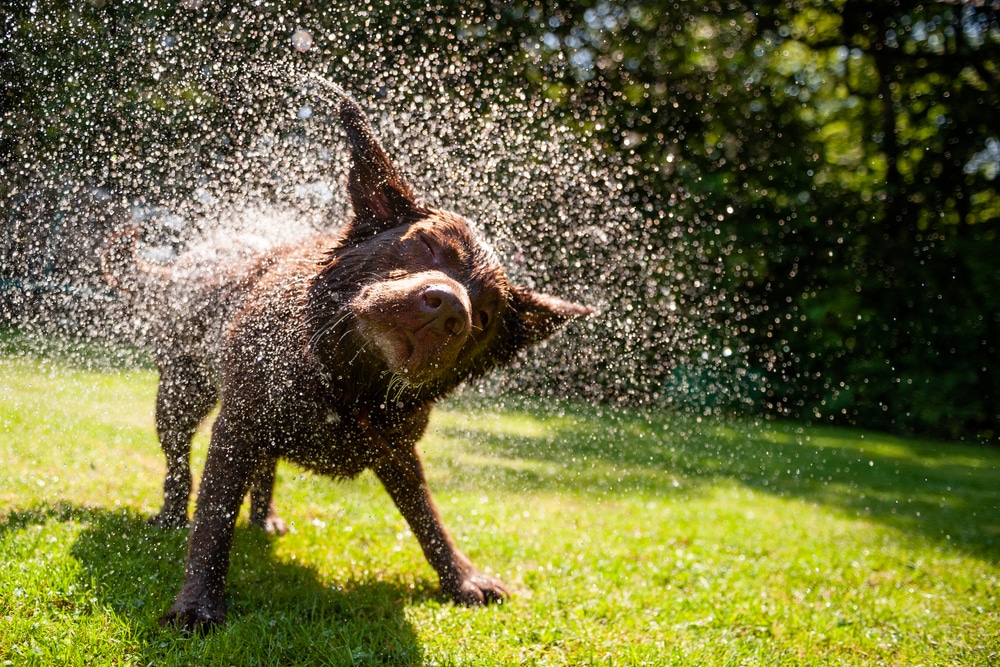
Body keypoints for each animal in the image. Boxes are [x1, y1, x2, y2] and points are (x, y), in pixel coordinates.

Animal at [107, 88, 592, 632]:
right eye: (426, 245)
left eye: (485, 317)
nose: (451, 308)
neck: (346, 381)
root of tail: (186, 261)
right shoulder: (239, 426)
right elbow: (213, 520)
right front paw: (197, 604)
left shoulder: (396, 449)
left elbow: (427, 516)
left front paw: (462, 578)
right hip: (181, 393)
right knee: (177, 462)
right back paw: (172, 515)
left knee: (264, 467)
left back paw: (264, 517)